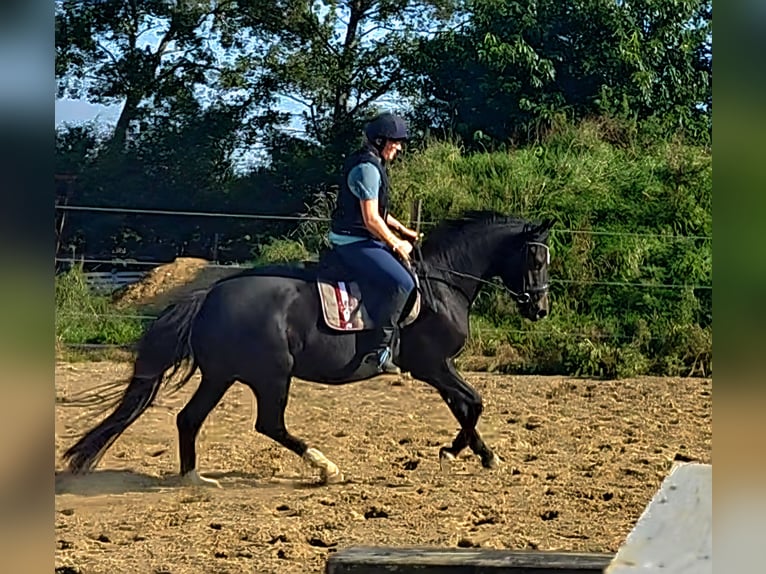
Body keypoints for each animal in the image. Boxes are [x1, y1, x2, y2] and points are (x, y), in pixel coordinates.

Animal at [62, 210, 553, 487]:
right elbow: (474, 402)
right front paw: (456, 452)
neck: (442, 283)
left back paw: (193, 478)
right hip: (271, 375)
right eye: (535, 256)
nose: (541, 309)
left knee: (189, 418)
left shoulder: (439, 367)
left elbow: (465, 405)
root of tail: (211, 295)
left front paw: (480, 454)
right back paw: (325, 468)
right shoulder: (432, 364)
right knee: (269, 424)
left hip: (221, 375)